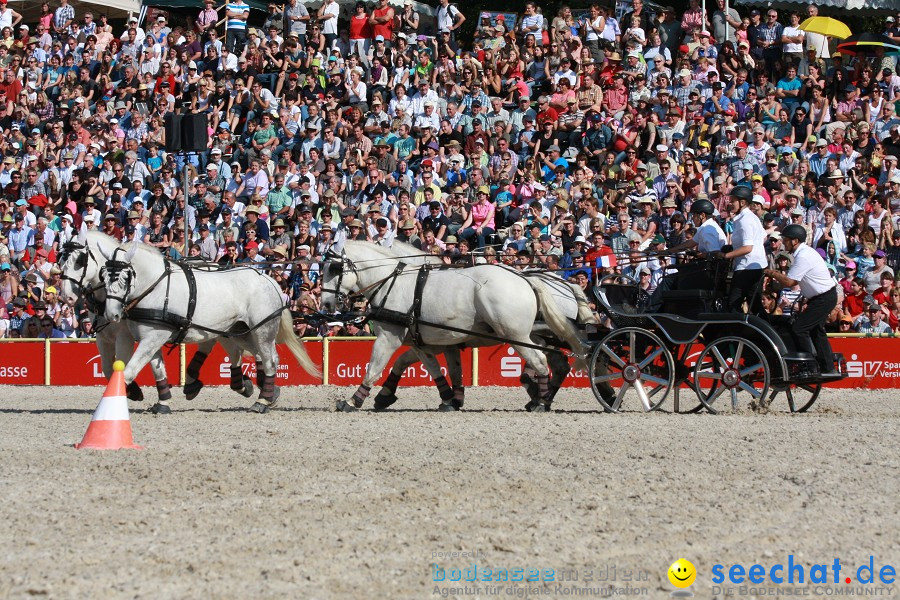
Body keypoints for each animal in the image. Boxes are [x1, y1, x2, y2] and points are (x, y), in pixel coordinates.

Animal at [58, 232, 258, 414]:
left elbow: (121, 365)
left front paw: (133, 391)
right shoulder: (105, 336)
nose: (67, 297)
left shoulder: (126, 336)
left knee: (229, 348)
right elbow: (110, 368)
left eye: (80, 261)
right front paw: (154, 397)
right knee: (225, 347)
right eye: (61, 261)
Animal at [95, 234, 318, 412]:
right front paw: (162, 402)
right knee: (256, 355)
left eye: (125, 277)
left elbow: (128, 372)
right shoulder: (149, 337)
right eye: (103, 276)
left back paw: (262, 401)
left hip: (263, 330)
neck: (156, 287)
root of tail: (270, 281)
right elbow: (156, 369)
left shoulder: (154, 336)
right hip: (240, 331)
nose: (111, 314)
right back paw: (263, 392)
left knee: (270, 359)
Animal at [320, 241, 588, 410]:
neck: (393, 282)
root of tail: (526, 279)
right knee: (556, 363)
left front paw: (353, 401)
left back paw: (540, 401)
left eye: (333, 268)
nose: (325, 302)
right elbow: (431, 367)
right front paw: (448, 398)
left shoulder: (389, 337)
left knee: (541, 361)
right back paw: (542, 398)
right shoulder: (425, 341)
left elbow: (374, 368)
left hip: (517, 334)